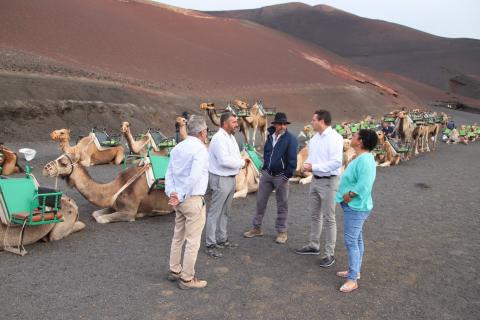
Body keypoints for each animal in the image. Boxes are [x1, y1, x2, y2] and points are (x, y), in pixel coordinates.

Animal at [42, 152, 172, 222]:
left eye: (64, 163)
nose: (45, 168)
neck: (116, 187)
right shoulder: (113, 205)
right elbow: (95, 214)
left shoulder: (129, 212)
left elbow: (101, 219)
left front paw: (144, 214)